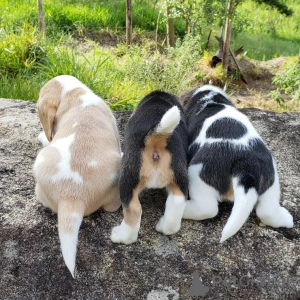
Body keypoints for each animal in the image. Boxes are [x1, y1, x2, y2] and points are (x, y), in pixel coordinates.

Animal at [111, 91, 189, 244]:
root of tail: (157, 138)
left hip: (128, 179)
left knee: (134, 210)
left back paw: (120, 237)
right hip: (179, 178)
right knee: (177, 203)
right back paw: (163, 226)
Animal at [180, 85, 292, 243]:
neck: (212, 100)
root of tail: (246, 165)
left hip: (197, 172)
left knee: (207, 209)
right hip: (271, 177)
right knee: (267, 211)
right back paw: (287, 219)